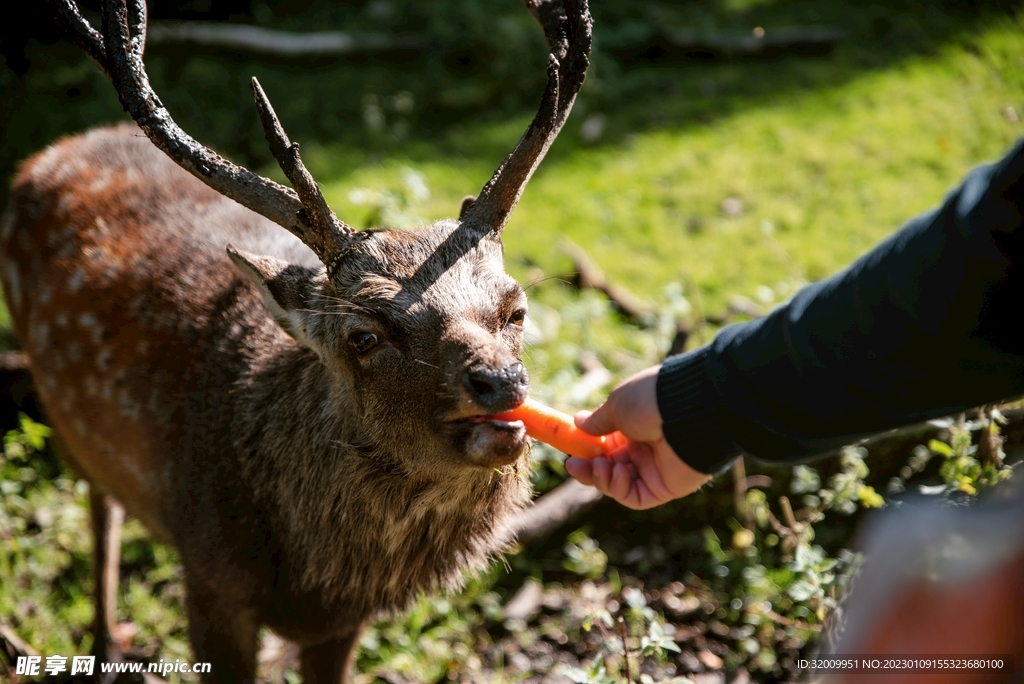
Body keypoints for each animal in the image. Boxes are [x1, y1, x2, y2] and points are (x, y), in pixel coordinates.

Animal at [0, 0, 591, 680]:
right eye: (363, 335)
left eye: (514, 308)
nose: (499, 381)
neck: (313, 579)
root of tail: (45, 155)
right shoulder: (208, 574)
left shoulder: (340, 622)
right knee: (99, 504)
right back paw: (105, 641)